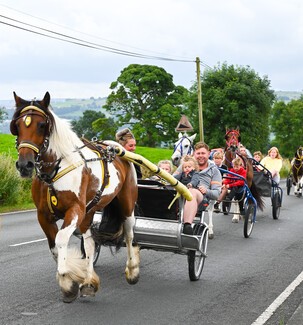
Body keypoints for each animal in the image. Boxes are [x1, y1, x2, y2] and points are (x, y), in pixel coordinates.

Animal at [10, 91, 141, 302]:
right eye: (18, 126)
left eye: (42, 125)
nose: (25, 165)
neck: (53, 171)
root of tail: (115, 147)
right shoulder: (43, 215)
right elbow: (55, 245)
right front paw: (72, 279)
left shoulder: (75, 210)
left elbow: (62, 238)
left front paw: (66, 280)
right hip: (90, 210)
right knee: (89, 243)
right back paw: (88, 282)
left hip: (126, 204)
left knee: (129, 234)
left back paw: (132, 270)